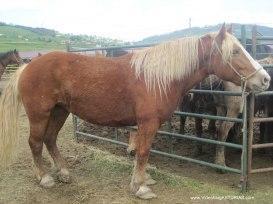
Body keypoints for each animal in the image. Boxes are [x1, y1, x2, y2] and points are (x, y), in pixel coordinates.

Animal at [0, 24, 268, 199]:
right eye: (235, 51)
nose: (265, 79)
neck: (157, 77)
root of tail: (27, 68)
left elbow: (143, 152)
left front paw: (144, 179)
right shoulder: (148, 123)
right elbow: (143, 152)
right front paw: (140, 187)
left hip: (59, 112)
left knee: (50, 139)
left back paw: (64, 172)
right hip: (40, 114)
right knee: (35, 142)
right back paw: (44, 177)